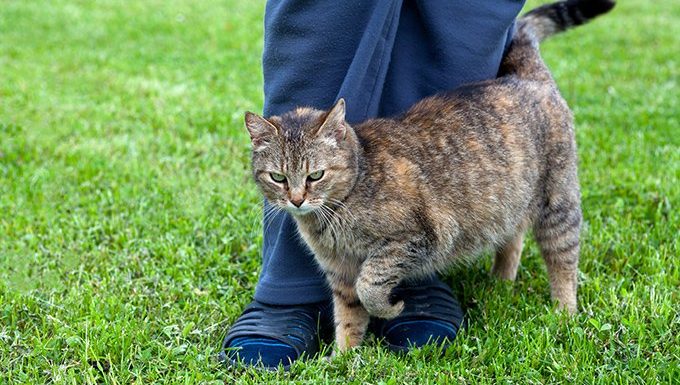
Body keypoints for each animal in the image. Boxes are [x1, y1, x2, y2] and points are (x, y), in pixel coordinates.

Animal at [243, 0, 616, 352]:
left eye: (315, 175)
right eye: (278, 177)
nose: (296, 200)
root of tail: (527, 75)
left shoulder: (418, 237)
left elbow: (370, 285)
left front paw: (390, 309)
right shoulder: (339, 270)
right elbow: (349, 316)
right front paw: (345, 358)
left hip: (558, 202)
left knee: (563, 260)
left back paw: (564, 312)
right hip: (509, 199)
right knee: (514, 237)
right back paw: (500, 282)